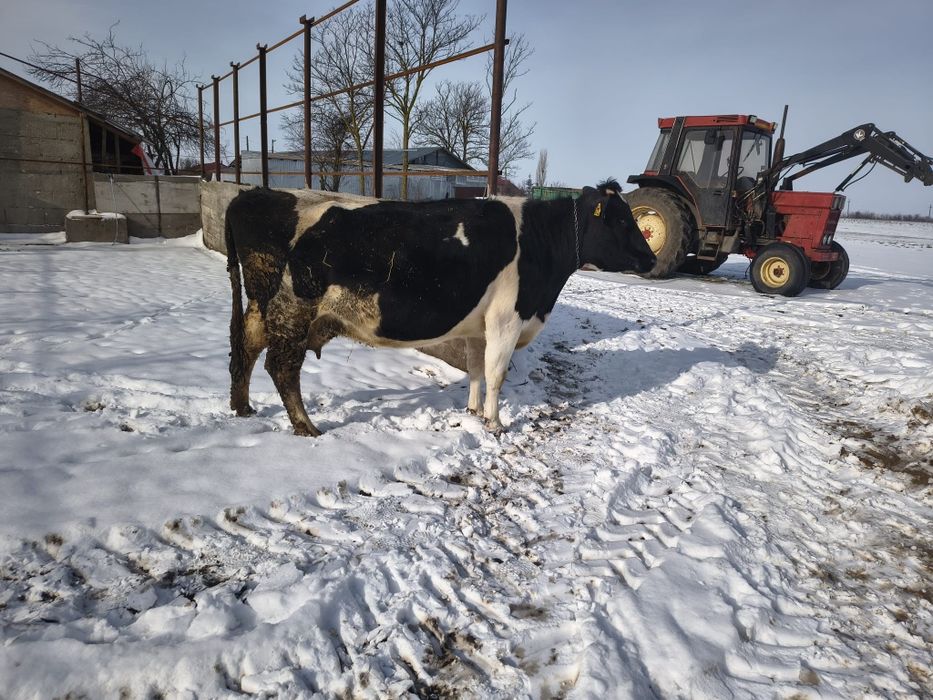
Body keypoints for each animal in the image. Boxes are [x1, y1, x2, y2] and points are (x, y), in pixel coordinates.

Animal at [225, 180, 655, 436]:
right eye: (622, 221)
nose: (651, 259)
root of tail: (253, 193)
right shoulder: (507, 318)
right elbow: (496, 374)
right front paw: (496, 424)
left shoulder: (480, 326)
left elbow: (477, 370)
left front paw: (474, 412)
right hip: (292, 309)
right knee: (281, 367)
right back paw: (306, 426)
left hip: (263, 305)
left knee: (245, 348)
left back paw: (242, 407)